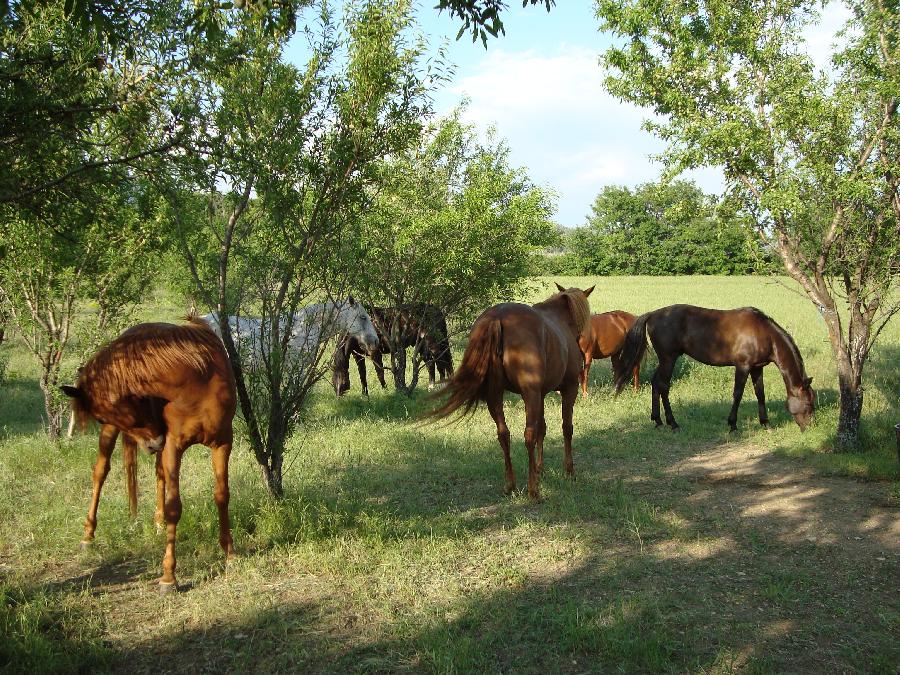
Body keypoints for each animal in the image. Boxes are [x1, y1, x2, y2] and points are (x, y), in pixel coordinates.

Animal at [64, 316, 239, 592]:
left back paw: (158, 523)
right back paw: (88, 536)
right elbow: (175, 507)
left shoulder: (222, 443)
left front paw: (230, 554)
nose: (153, 442)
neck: (199, 378)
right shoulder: (173, 447)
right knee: (100, 472)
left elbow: (222, 495)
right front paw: (169, 576)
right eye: (100, 418)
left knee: (159, 476)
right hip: (117, 437)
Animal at [428, 282, 592, 500]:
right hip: (528, 394)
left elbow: (543, 429)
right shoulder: (568, 389)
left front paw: (540, 469)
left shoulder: (541, 394)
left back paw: (510, 485)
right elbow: (566, 428)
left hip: (496, 395)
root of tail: (498, 317)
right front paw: (569, 471)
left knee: (503, 434)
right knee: (528, 435)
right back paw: (533, 489)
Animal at [612, 306, 816, 434]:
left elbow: (760, 394)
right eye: (808, 404)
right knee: (663, 386)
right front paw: (733, 425)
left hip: (665, 360)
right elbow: (738, 394)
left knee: (656, 383)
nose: (810, 427)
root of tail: (653, 314)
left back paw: (658, 420)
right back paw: (673, 423)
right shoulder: (743, 367)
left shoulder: (757, 368)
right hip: (669, 359)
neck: (764, 333)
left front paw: (765, 423)